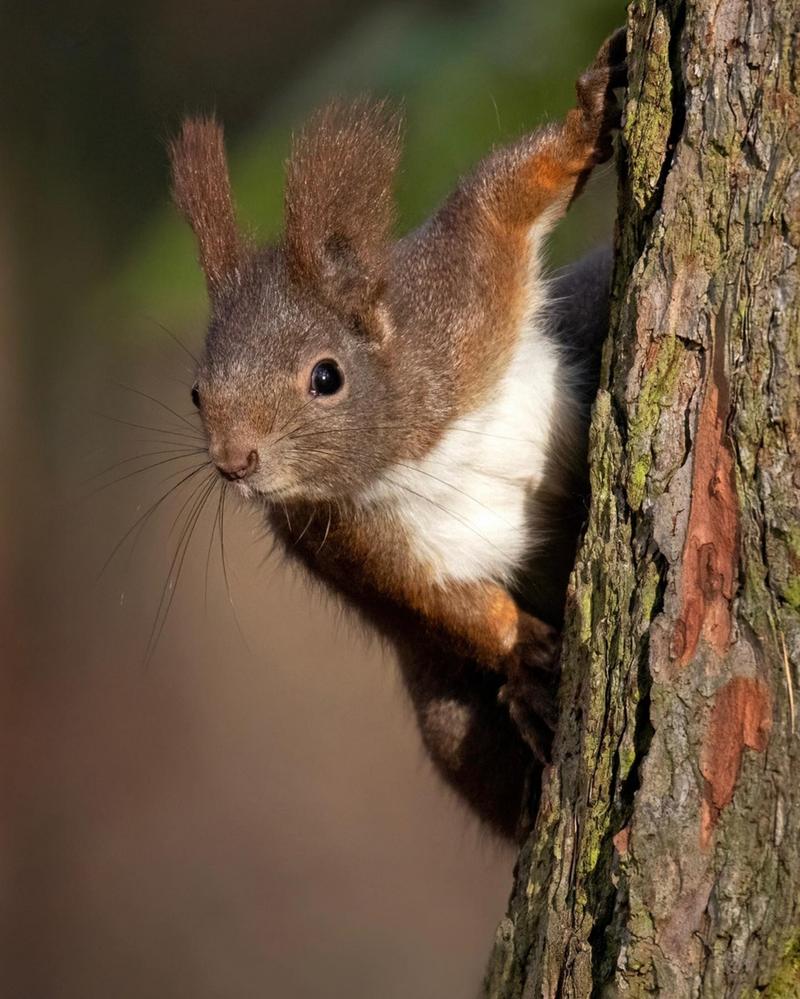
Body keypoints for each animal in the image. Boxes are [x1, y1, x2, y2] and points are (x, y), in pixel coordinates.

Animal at [169, 31, 628, 840]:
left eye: (325, 377)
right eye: (197, 392)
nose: (235, 462)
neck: (413, 449)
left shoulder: (461, 302)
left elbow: (496, 201)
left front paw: (592, 107)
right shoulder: (343, 539)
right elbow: (437, 599)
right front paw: (523, 652)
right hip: (448, 718)